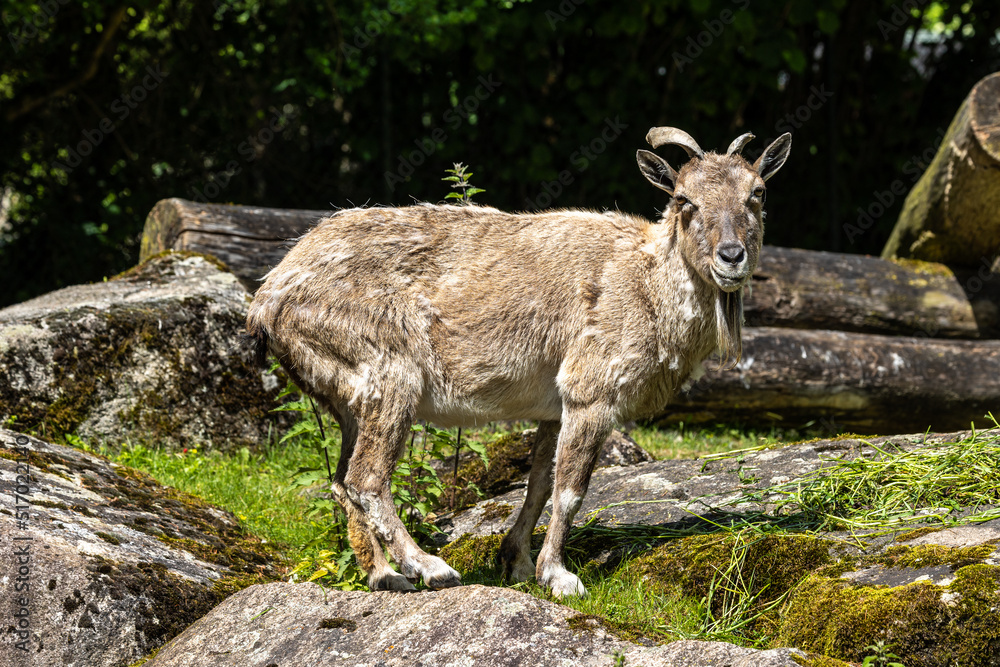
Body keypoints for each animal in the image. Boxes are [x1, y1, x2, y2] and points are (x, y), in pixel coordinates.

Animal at [246, 127, 791, 597]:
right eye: (684, 199)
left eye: (758, 193)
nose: (731, 256)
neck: (645, 285)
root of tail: (268, 298)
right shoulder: (591, 391)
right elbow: (572, 490)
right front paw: (560, 575)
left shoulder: (554, 406)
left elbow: (539, 484)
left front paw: (520, 564)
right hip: (389, 374)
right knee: (366, 479)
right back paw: (429, 567)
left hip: (346, 398)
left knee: (340, 481)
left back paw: (384, 575)